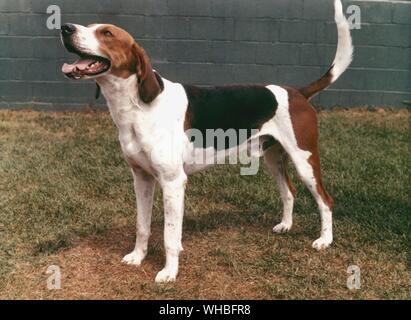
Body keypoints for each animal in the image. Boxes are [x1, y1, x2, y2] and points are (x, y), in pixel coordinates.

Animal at [61, 0, 354, 282]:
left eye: (106, 33)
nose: (65, 28)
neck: (137, 107)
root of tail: (297, 93)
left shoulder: (173, 183)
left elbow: (169, 236)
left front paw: (169, 272)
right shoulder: (141, 178)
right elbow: (142, 226)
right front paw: (137, 257)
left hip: (305, 160)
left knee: (325, 200)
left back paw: (324, 240)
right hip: (273, 158)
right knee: (289, 192)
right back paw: (286, 225)